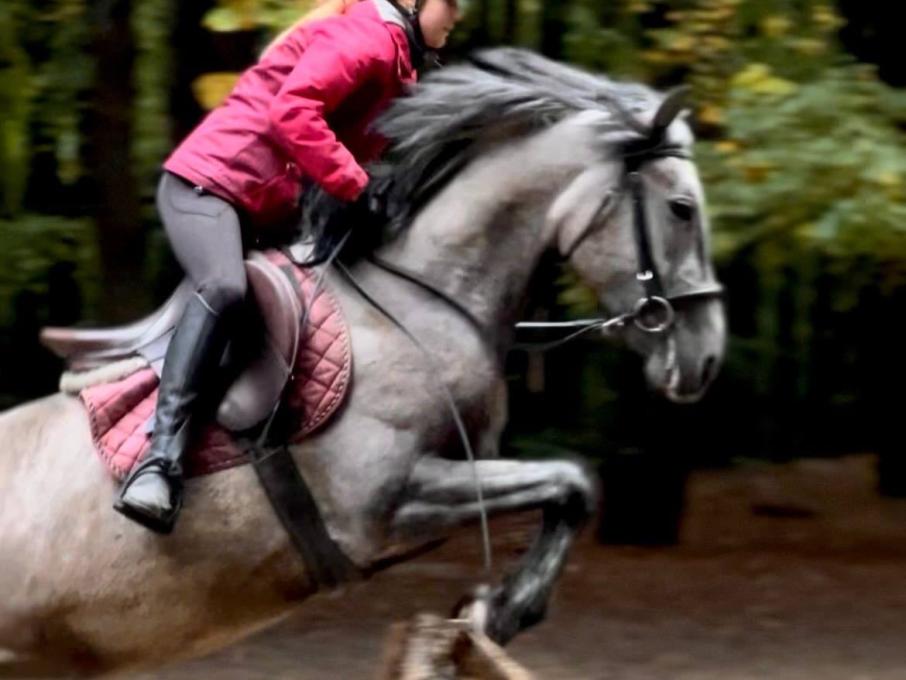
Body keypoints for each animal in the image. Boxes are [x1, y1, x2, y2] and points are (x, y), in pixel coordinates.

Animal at [0, 48, 725, 676]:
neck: (421, 297)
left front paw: (496, 611)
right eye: (682, 208)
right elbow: (573, 481)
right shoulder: (382, 505)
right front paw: (504, 609)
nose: (708, 357)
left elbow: (571, 487)